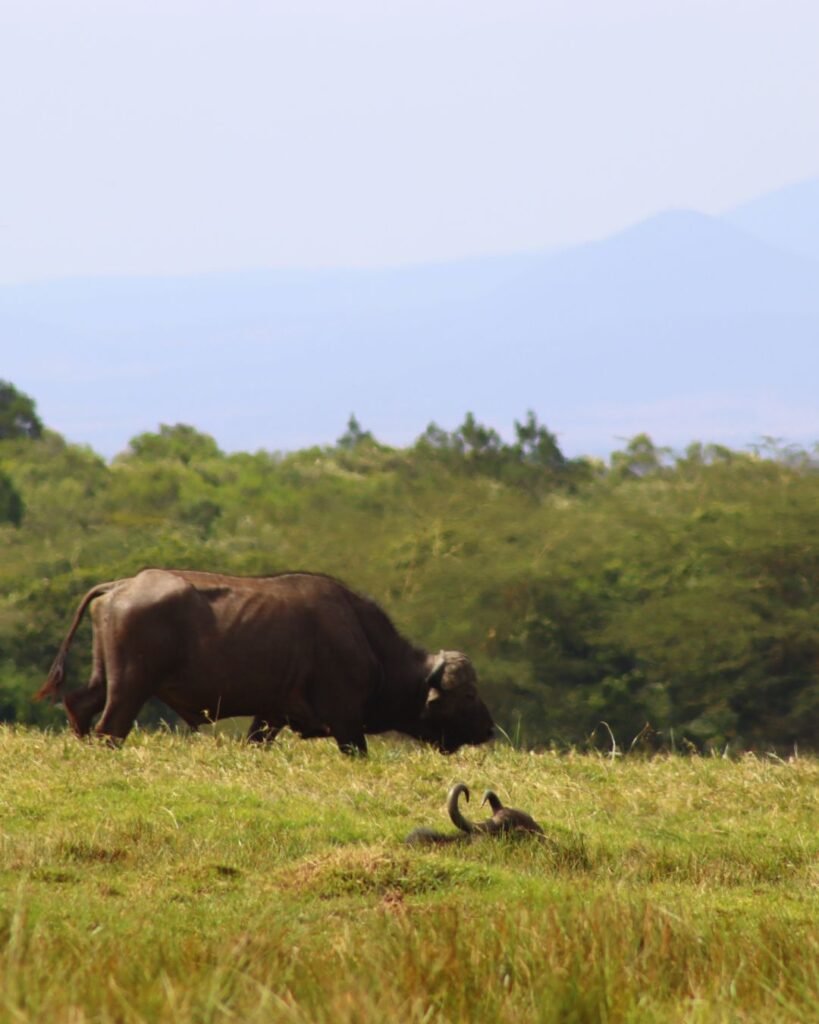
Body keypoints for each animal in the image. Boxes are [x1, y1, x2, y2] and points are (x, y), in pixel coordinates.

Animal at [36, 569, 494, 754]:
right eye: (469, 694)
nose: (489, 730)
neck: (366, 642)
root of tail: (122, 585)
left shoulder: (270, 716)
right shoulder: (346, 723)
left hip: (105, 679)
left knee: (78, 705)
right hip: (131, 688)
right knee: (109, 730)